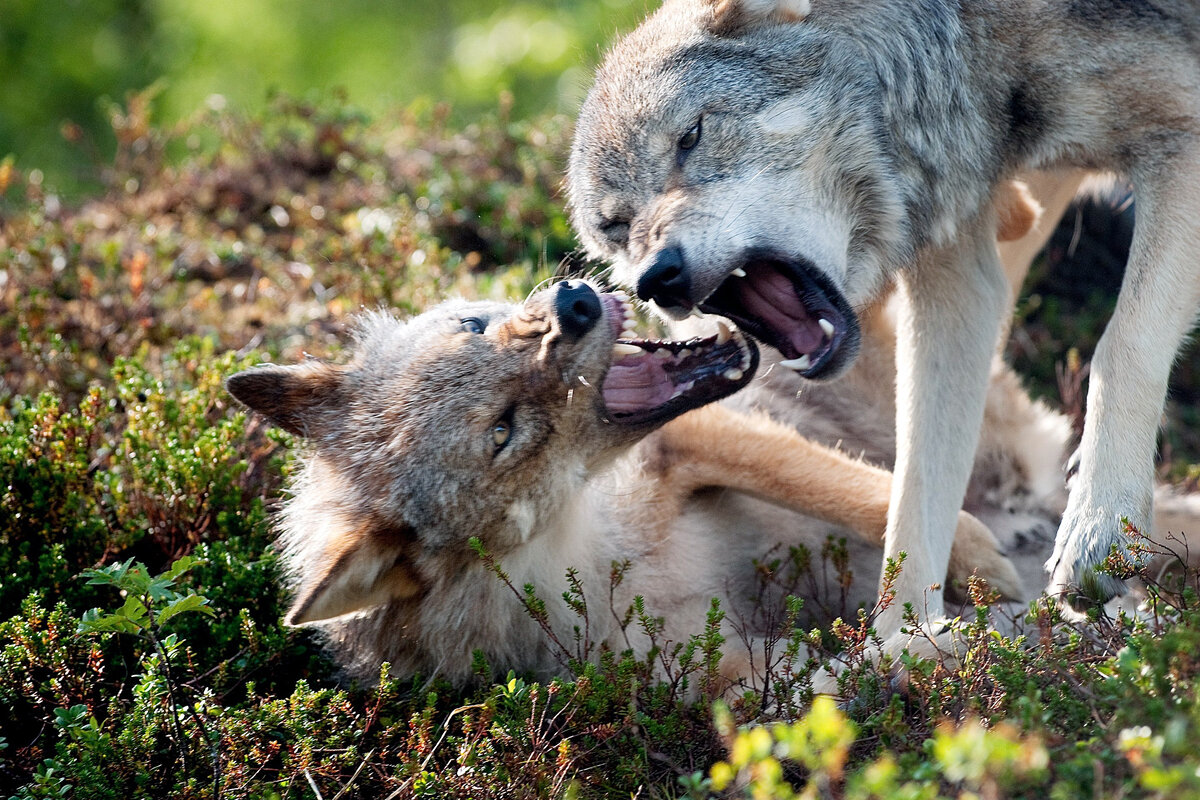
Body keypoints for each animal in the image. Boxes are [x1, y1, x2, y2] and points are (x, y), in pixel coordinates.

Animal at [220, 278, 1017, 690]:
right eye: (502, 430)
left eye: (475, 324)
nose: (574, 301)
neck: (605, 556)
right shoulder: (729, 679)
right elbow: (839, 682)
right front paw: (950, 649)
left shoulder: (690, 444)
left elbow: (870, 498)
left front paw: (978, 577)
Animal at [564, 0, 1200, 633]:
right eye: (616, 226)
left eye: (690, 137)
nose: (654, 278)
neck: (959, 45)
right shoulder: (958, 273)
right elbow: (914, 493)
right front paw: (902, 641)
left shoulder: (1180, 142)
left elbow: (1122, 346)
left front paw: (1101, 530)